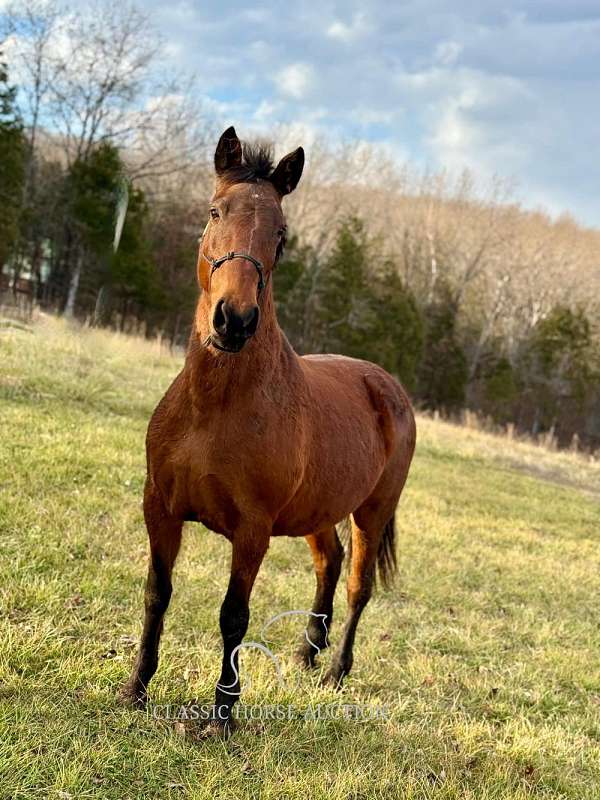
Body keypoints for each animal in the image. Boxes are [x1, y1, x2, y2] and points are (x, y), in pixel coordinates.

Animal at [119, 128, 414, 736]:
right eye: (215, 212)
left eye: (280, 236)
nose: (233, 320)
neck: (214, 408)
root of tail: (386, 384)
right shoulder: (159, 508)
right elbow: (157, 593)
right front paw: (135, 689)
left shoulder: (252, 532)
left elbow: (234, 616)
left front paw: (222, 714)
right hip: (320, 512)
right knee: (329, 563)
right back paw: (306, 652)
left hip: (372, 513)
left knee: (358, 586)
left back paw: (336, 671)